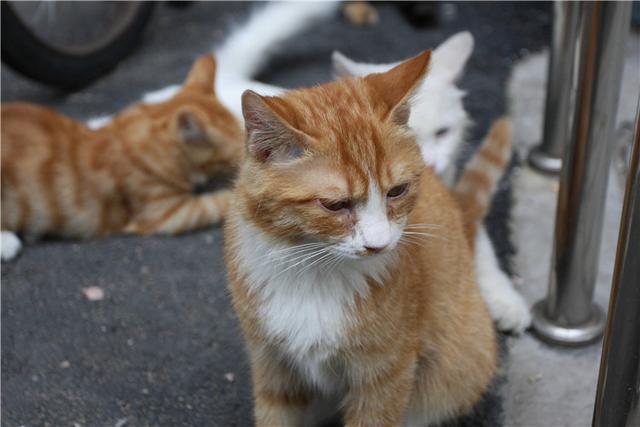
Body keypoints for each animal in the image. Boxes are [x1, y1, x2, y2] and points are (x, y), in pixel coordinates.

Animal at [225, 51, 500, 427]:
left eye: (397, 191)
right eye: (335, 205)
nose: (379, 244)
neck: (313, 274)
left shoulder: (385, 376)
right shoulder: (273, 367)